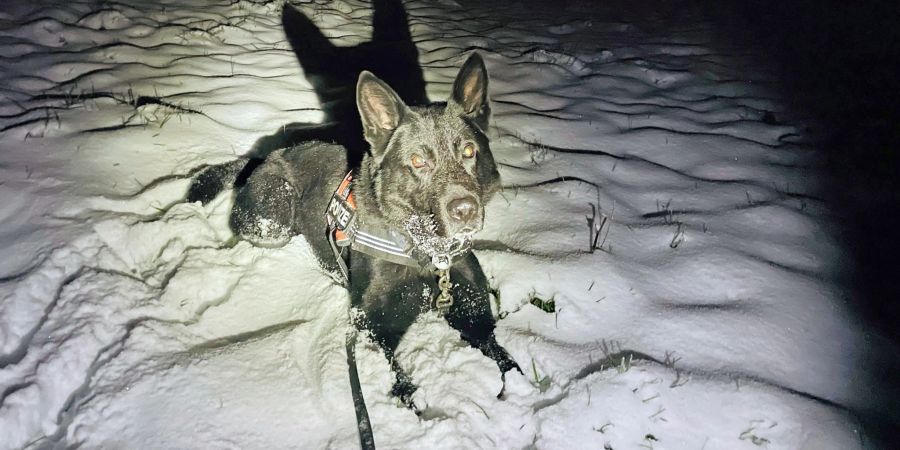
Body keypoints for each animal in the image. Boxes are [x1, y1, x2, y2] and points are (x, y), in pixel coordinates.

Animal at [186, 4, 516, 404]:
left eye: (469, 152)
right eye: (418, 161)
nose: (466, 211)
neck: (423, 252)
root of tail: (264, 156)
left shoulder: (472, 313)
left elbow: (505, 358)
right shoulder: (370, 325)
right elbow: (393, 368)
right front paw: (411, 399)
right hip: (276, 209)